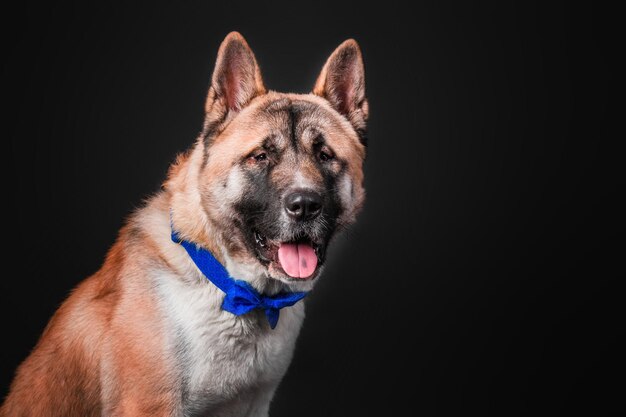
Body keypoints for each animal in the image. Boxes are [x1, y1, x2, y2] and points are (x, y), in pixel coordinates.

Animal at [1, 32, 366, 416]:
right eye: (261, 156)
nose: (305, 205)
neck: (233, 287)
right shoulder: (147, 404)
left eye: (325, 155)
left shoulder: (255, 404)